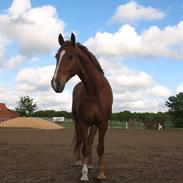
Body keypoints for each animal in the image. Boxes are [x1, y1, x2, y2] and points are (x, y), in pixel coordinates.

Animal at [50, 33, 112, 182]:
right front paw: (84, 174)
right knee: (81, 141)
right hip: (77, 121)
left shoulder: (103, 123)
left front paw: (101, 174)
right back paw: (80, 162)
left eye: (71, 56)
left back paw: (90, 164)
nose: (55, 83)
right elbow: (84, 147)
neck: (95, 91)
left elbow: (100, 147)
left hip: (94, 125)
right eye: (56, 56)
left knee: (89, 142)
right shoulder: (84, 122)